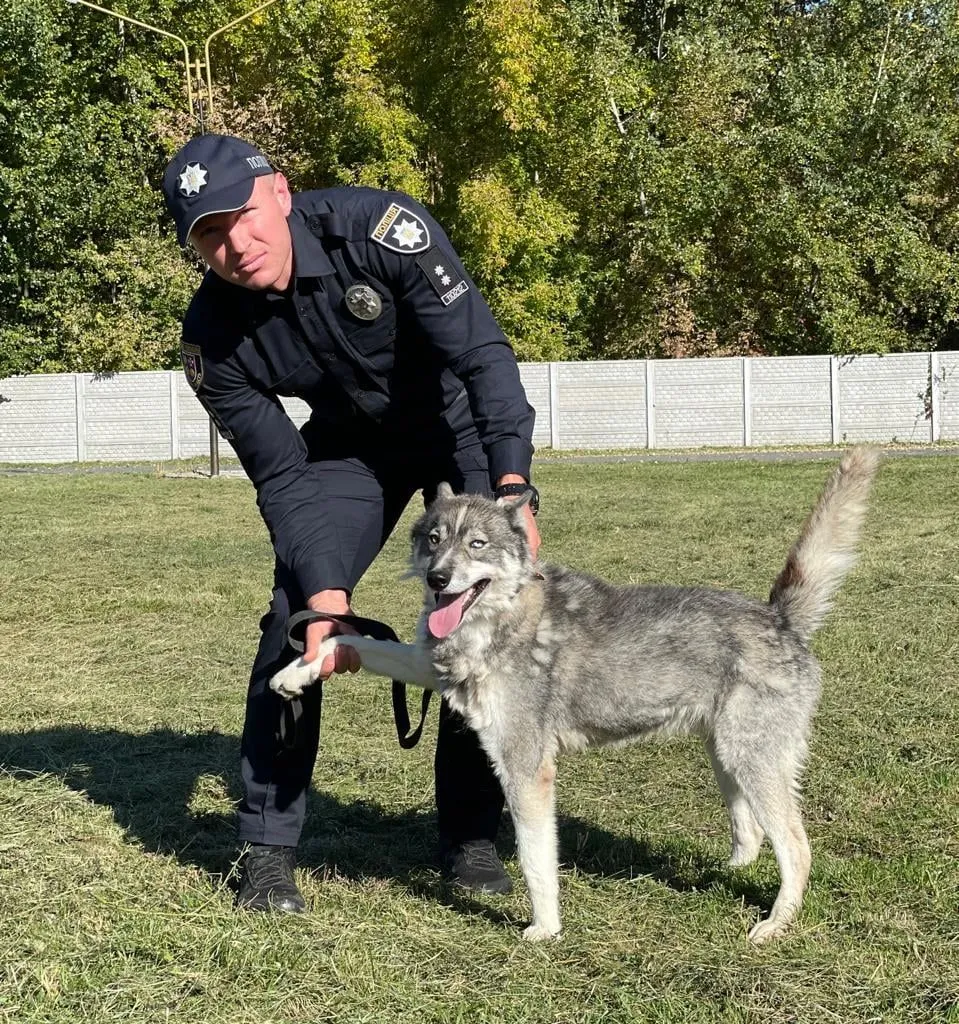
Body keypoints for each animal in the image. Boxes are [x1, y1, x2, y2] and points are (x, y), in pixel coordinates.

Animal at [270, 448, 876, 942]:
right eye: (433, 540)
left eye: (477, 544)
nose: (439, 579)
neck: (504, 614)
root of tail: (780, 620)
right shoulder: (430, 667)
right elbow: (352, 639)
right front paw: (302, 669)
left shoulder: (525, 769)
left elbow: (537, 860)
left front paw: (545, 927)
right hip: (727, 758)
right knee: (749, 832)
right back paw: (730, 871)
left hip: (751, 760)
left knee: (795, 846)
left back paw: (776, 922)